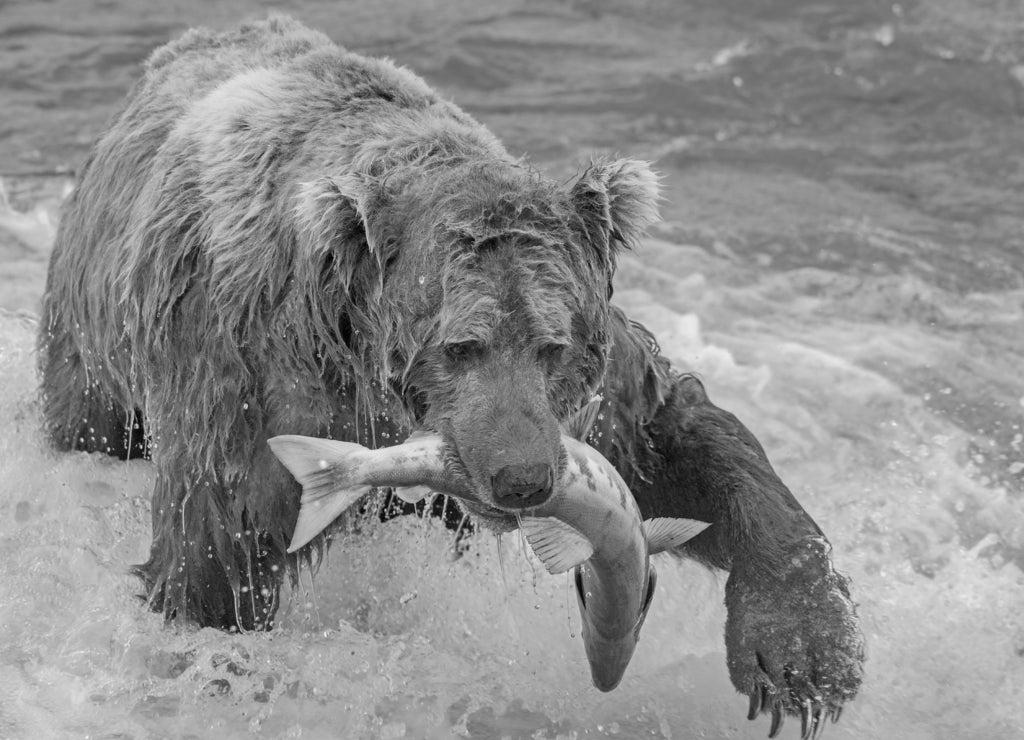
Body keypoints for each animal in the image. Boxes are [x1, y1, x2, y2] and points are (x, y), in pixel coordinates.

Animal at [36, 14, 860, 736]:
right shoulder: (250, 381)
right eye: (461, 346)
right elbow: (217, 557)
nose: (523, 480)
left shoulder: (592, 409)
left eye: (553, 346)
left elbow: (682, 445)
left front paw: (803, 659)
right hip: (93, 362)